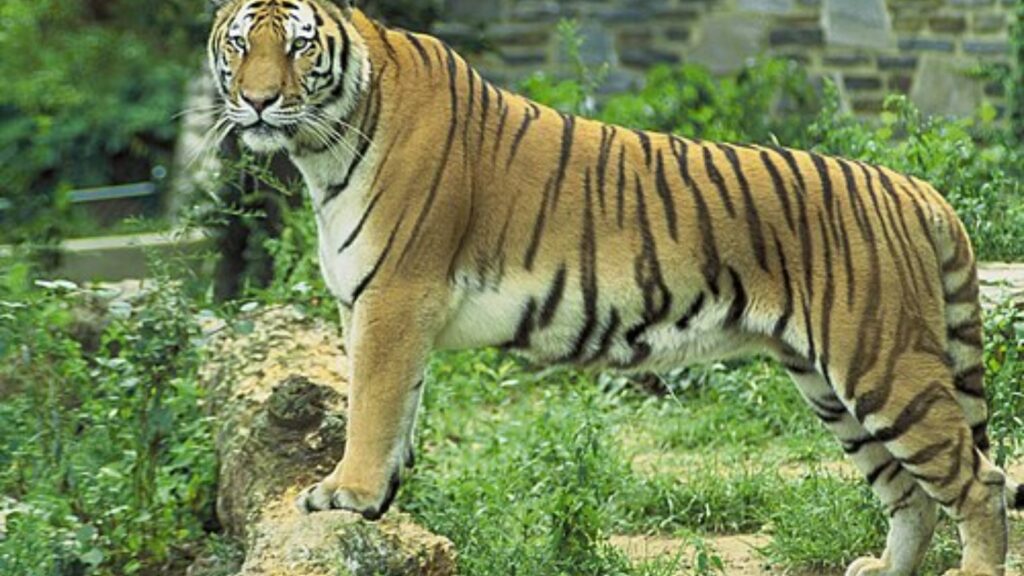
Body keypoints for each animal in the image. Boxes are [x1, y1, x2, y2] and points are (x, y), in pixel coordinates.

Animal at [205, 1, 1022, 574]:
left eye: (300, 45)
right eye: (240, 44)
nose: (258, 101)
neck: (323, 144)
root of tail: (914, 187)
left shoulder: (395, 298)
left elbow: (371, 408)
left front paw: (346, 493)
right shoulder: (383, 309)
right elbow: (398, 409)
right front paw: (379, 502)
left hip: (883, 364)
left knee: (978, 479)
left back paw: (974, 571)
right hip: (830, 385)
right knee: (910, 492)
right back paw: (884, 568)